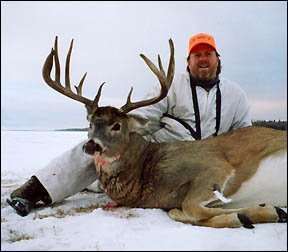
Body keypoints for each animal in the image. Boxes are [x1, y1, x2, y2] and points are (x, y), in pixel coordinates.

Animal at [41, 37, 286, 228]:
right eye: (90, 123)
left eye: (117, 125)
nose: (91, 145)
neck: (147, 172)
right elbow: (179, 212)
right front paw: (250, 214)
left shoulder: (215, 167)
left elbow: (191, 208)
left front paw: (263, 211)